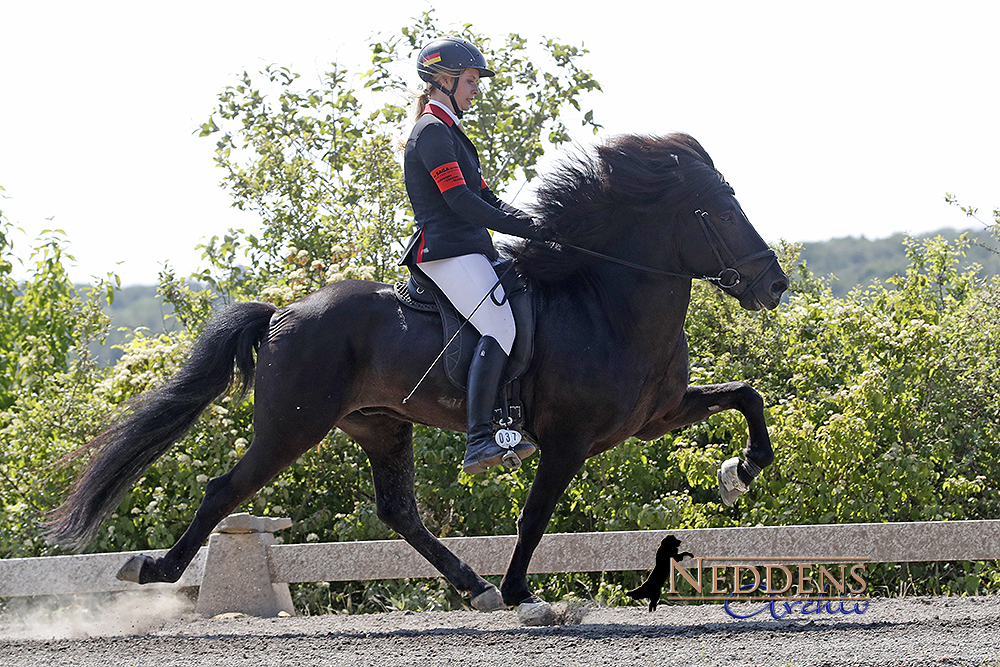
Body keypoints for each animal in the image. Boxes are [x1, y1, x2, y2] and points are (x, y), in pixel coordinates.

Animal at [47, 133, 788, 624]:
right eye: (722, 213)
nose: (775, 285)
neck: (606, 302)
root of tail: (285, 310)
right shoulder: (568, 440)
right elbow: (534, 516)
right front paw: (527, 597)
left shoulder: (657, 415)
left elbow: (746, 395)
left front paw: (739, 473)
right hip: (292, 427)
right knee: (226, 488)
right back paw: (154, 569)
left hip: (379, 424)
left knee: (397, 509)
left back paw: (472, 585)